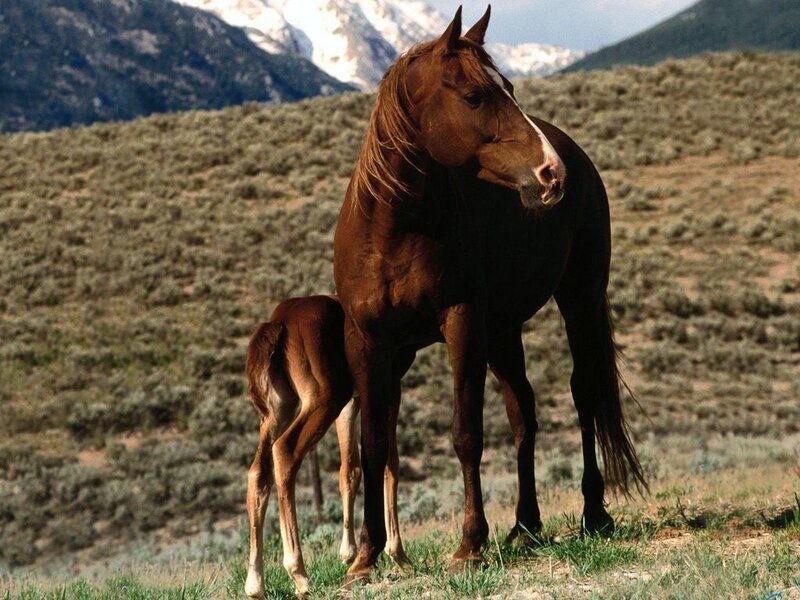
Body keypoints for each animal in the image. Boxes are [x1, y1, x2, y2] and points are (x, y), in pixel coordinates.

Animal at [243, 295, 410, 599]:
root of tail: (278, 323)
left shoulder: (354, 401)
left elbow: (350, 471)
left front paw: (349, 554)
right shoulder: (390, 386)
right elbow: (390, 463)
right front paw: (399, 556)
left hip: (279, 410)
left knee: (258, 473)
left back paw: (255, 583)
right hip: (323, 400)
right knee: (285, 451)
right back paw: (299, 574)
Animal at [333, 6, 647, 584]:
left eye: (511, 88)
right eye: (476, 96)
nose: (551, 174)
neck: (394, 230)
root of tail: (576, 152)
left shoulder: (461, 325)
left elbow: (466, 434)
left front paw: (469, 546)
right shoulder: (368, 342)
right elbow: (372, 445)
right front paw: (365, 558)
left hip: (578, 301)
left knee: (584, 393)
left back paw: (594, 513)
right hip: (502, 332)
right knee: (524, 412)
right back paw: (525, 525)